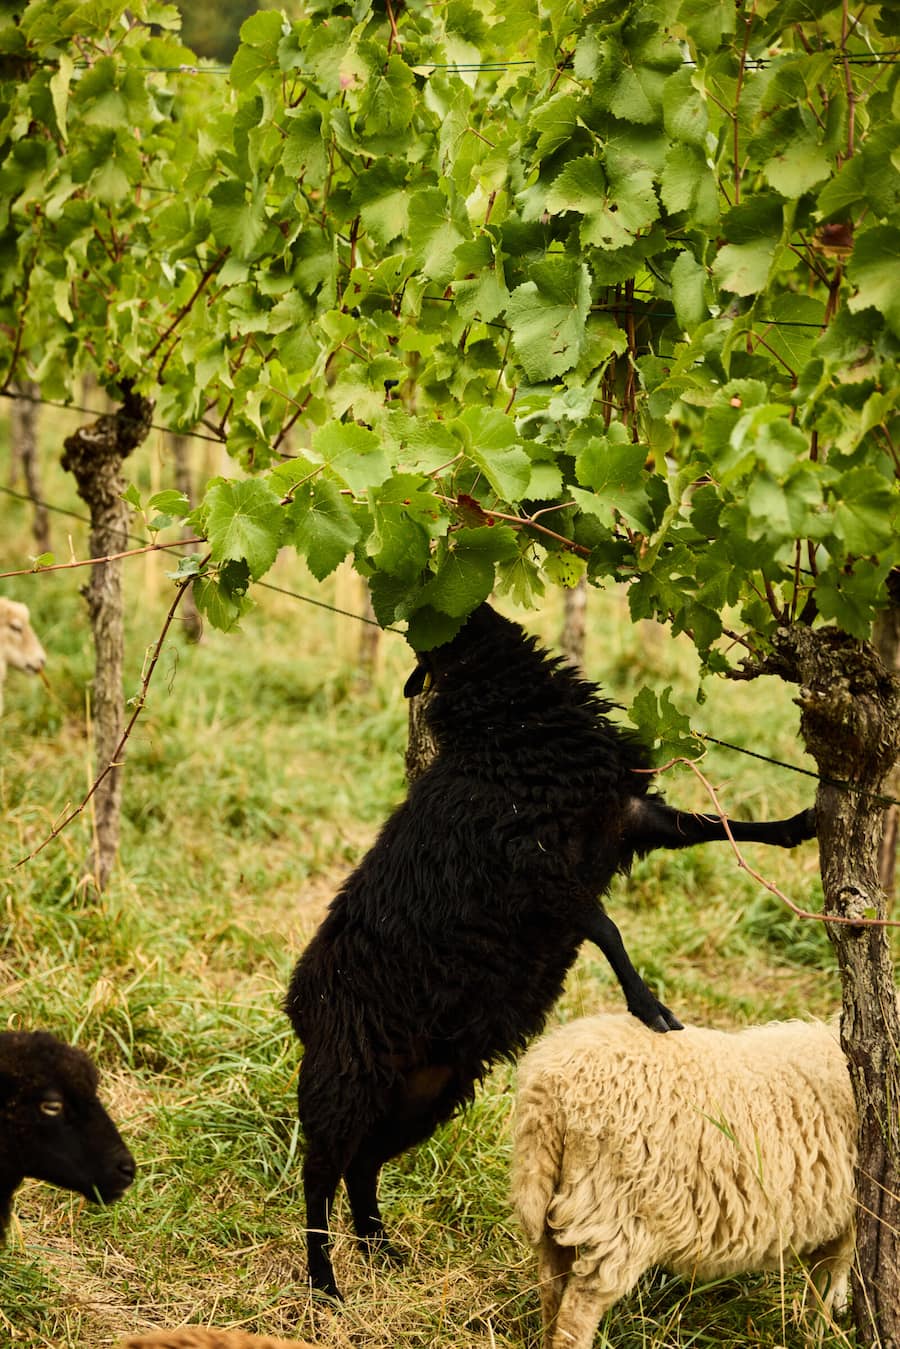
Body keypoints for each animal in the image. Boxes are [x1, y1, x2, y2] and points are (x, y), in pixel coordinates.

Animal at [285, 602, 816, 1297]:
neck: (506, 725)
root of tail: (298, 1004)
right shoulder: (534, 869)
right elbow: (607, 928)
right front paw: (651, 1010)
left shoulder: (623, 814)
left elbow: (711, 826)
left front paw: (802, 824)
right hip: (345, 1079)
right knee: (320, 1175)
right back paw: (325, 1283)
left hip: (424, 1091)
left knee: (363, 1164)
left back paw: (379, 1247)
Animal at [512, 1011, 856, 1348]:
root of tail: (548, 1091)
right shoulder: (846, 1219)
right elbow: (827, 1282)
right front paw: (822, 1333)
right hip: (618, 1214)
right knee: (578, 1308)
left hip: (556, 1198)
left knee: (551, 1285)